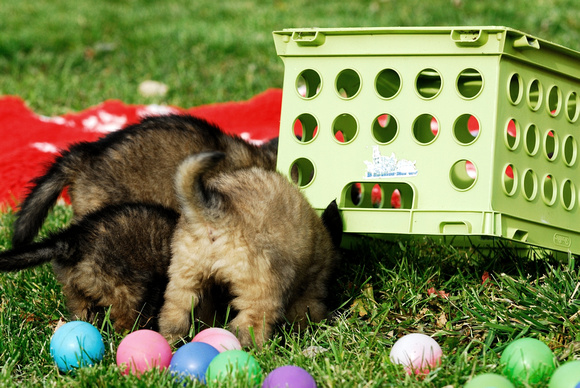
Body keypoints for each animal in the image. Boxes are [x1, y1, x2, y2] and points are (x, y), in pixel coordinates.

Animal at [159, 152, 342, 346]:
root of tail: (219, 216)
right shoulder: (309, 290)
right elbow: (309, 311)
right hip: (263, 289)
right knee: (250, 325)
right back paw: (257, 349)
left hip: (184, 278)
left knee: (174, 316)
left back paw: (171, 343)